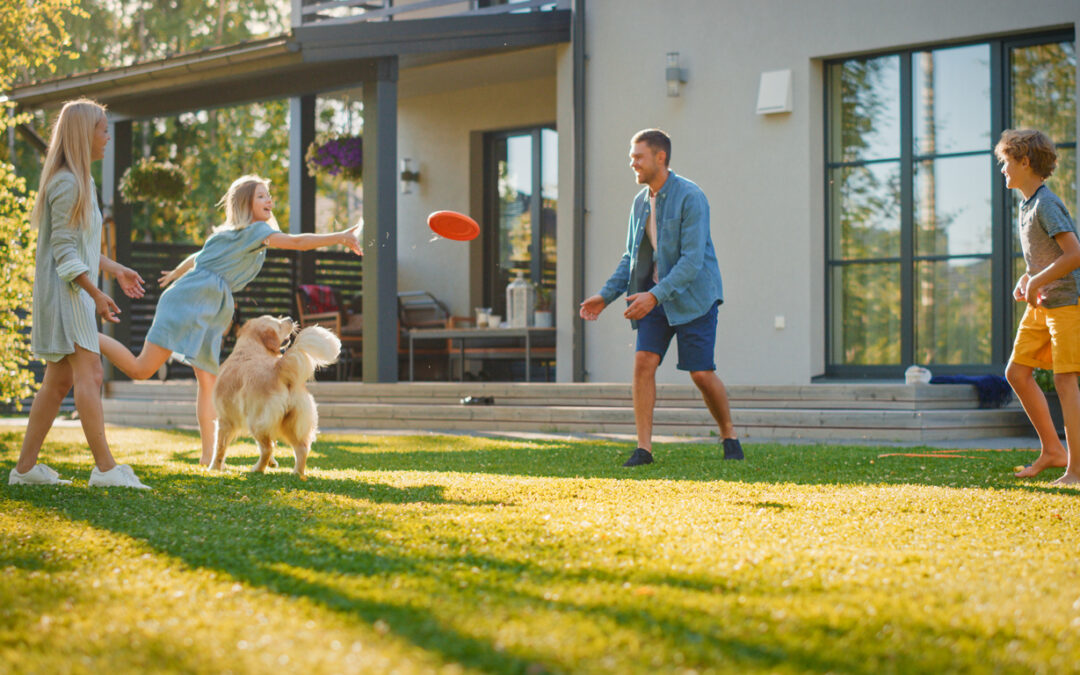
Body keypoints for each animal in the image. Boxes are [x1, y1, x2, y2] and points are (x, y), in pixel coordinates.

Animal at [211, 317, 341, 479]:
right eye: (278, 322)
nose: (290, 318)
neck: (251, 347)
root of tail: (279, 368)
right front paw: (272, 463)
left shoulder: (224, 420)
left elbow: (219, 447)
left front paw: (215, 468)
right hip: (290, 423)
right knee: (301, 448)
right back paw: (297, 473)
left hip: (256, 421)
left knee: (267, 448)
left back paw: (257, 470)